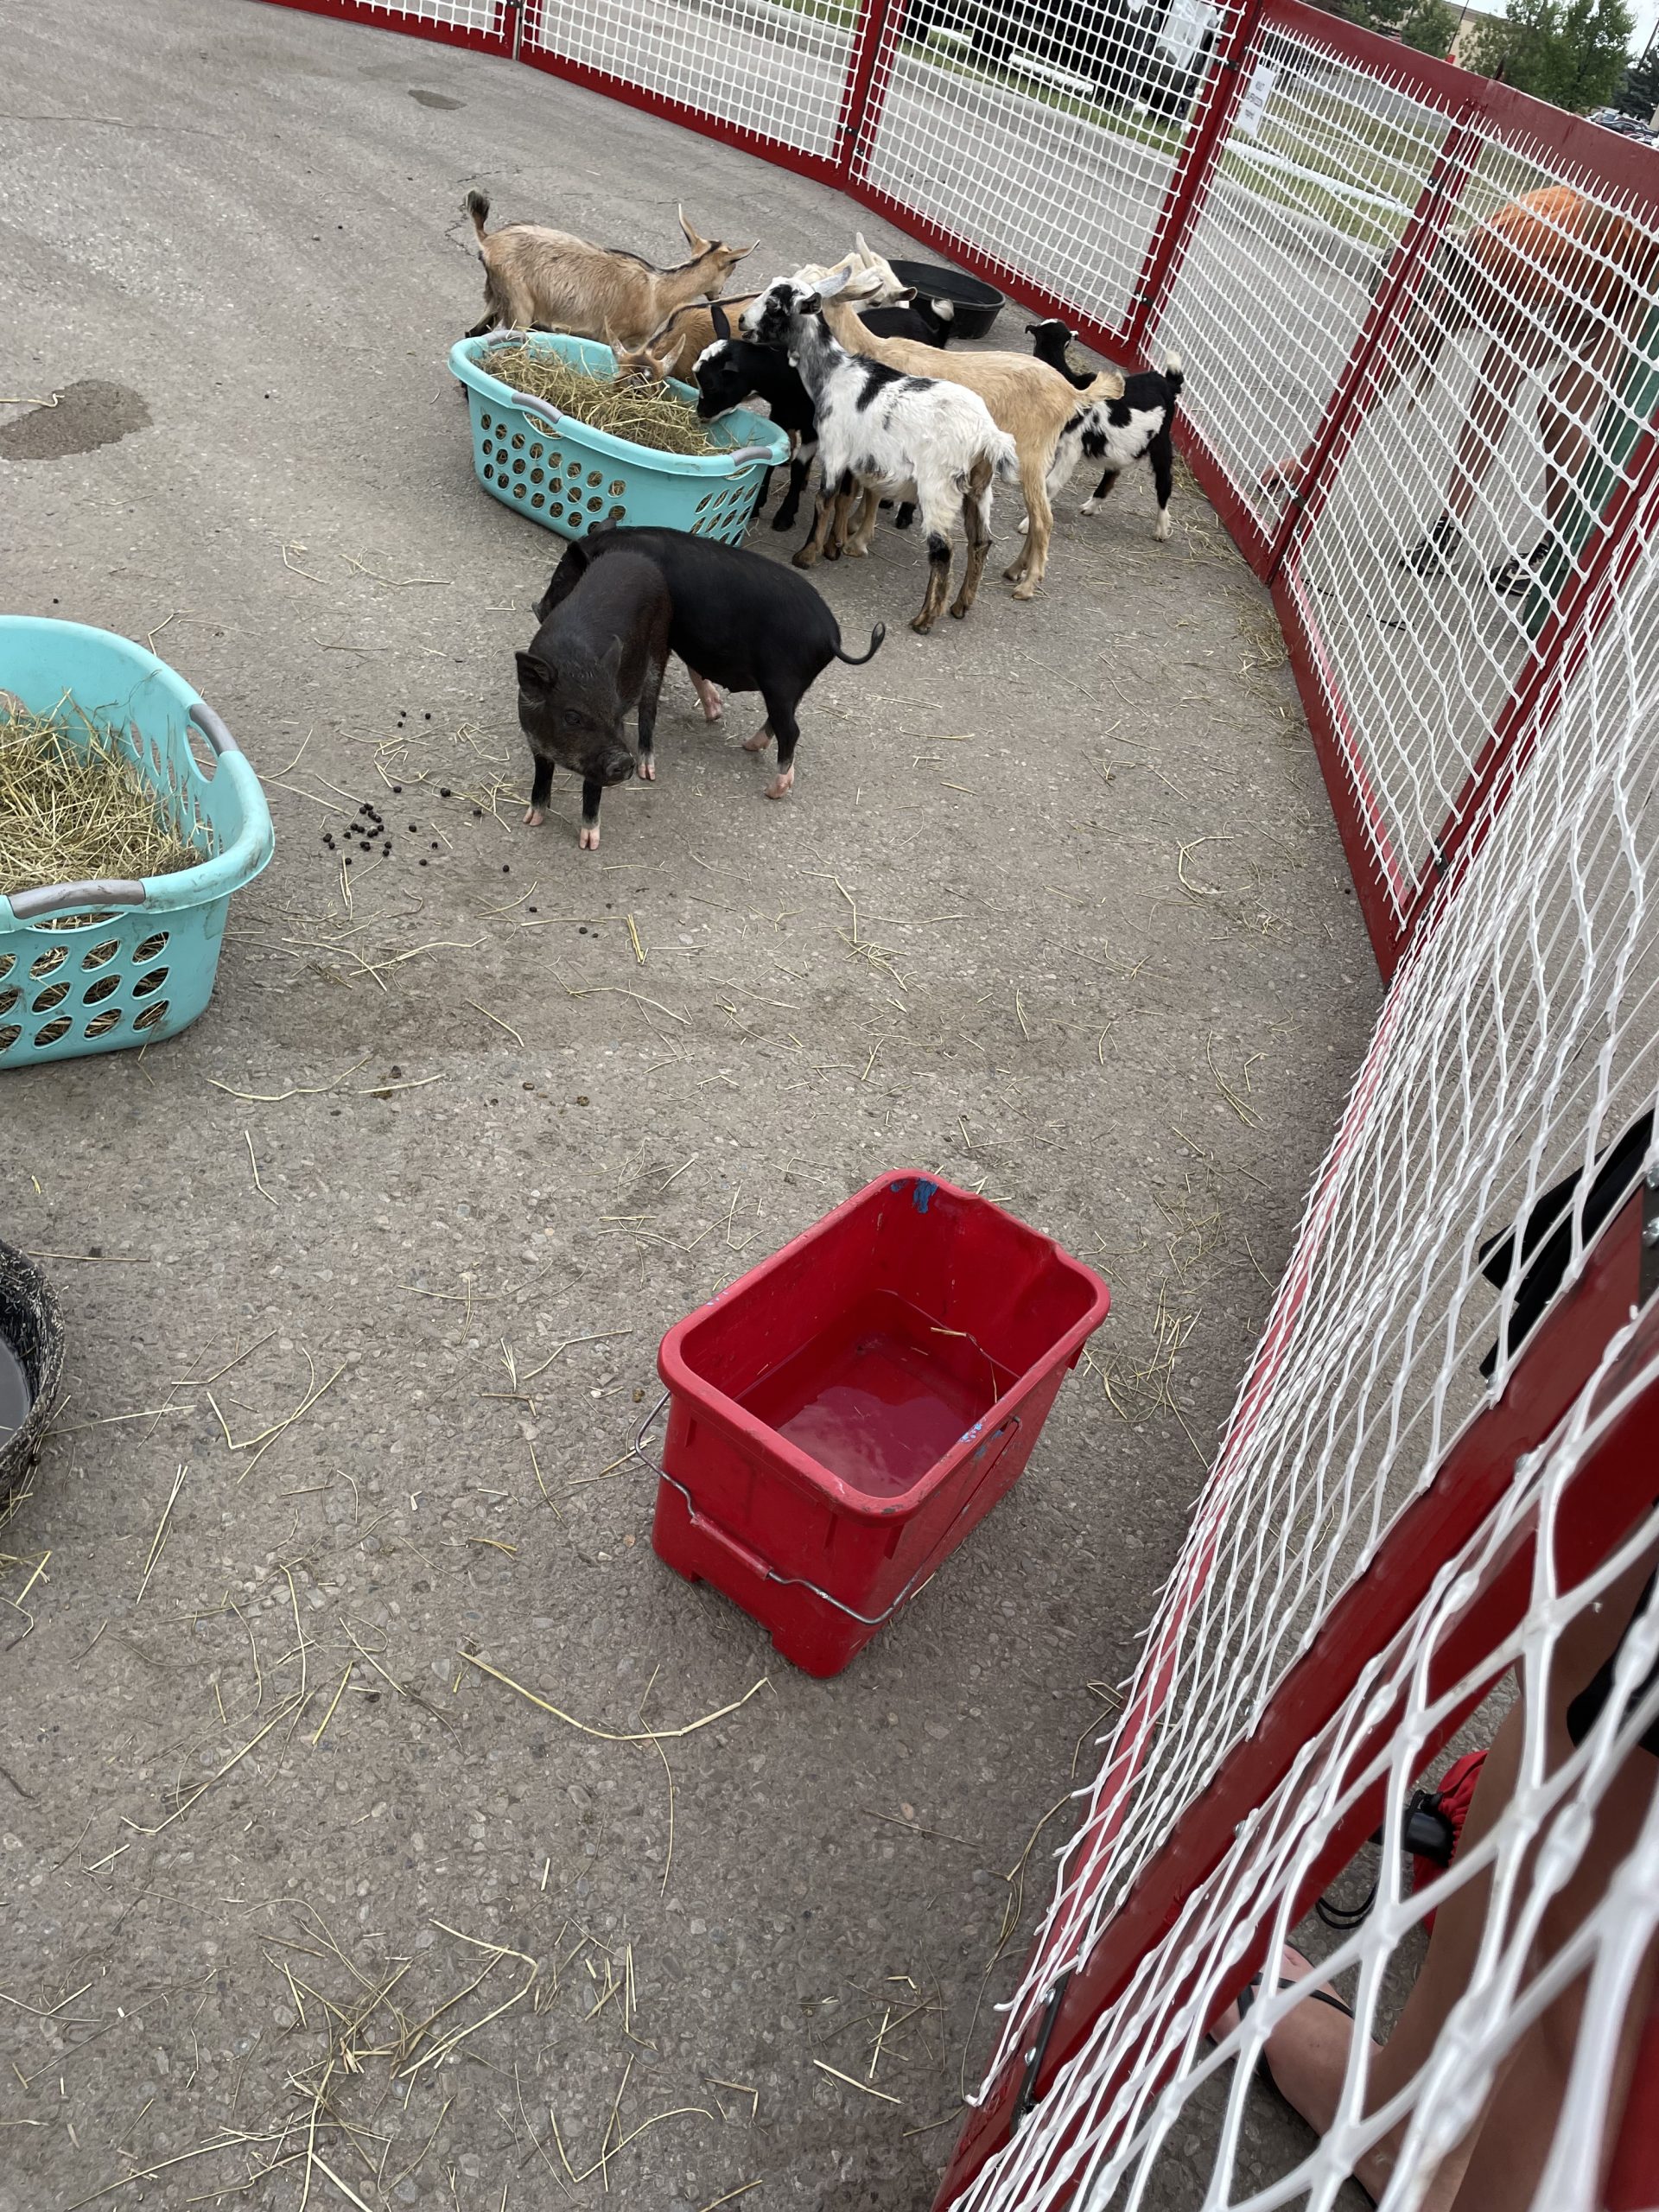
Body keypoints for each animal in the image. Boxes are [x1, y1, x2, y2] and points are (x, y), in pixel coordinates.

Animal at [462, 191, 755, 347]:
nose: (717, 294)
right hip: (519, 305)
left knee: (474, 333)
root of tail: (487, 241)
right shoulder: (614, 337)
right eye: (732, 266)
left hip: (497, 295)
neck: (659, 291)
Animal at [739, 274, 1017, 634]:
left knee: (943, 550)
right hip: (980, 489)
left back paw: (925, 618)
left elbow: (824, 499)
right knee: (981, 542)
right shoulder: (854, 459)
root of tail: (987, 435)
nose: (742, 321)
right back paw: (961, 605)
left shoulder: (835, 448)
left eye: (774, 306)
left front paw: (807, 555)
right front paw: (833, 547)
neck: (833, 374)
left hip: (939, 487)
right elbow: (843, 498)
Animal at [812, 278, 1125, 598]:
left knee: (1043, 518)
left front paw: (856, 538)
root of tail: (1072, 393)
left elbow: (872, 490)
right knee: (1039, 513)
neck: (873, 348)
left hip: (1031, 454)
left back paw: (1028, 584)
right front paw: (855, 527)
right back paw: (1016, 570)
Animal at [1026, 319, 1184, 540]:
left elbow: (1051, 483)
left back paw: (1161, 529)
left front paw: (1028, 526)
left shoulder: (1071, 448)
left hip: (1161, 441)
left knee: (1164, 481)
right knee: (1113, 472)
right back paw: (1090, 507)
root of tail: (1168, 383)